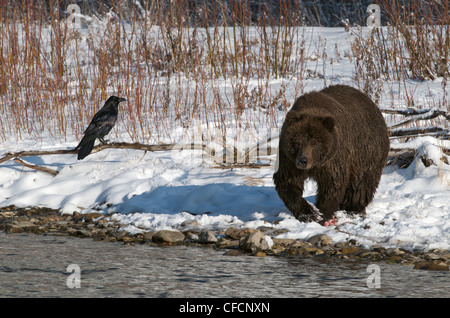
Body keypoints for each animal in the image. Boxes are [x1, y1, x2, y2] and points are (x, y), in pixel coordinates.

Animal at [272, 84, 388, 224]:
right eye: (297, 141)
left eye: (315, 142)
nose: (303, 160)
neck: (315, 164)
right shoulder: (289, 159)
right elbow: (287, 182)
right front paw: (310, 214)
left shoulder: (333, 159)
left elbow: (332, 184)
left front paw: (324, 213)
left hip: (367, 152)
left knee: (361, 184)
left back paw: (352, 209)